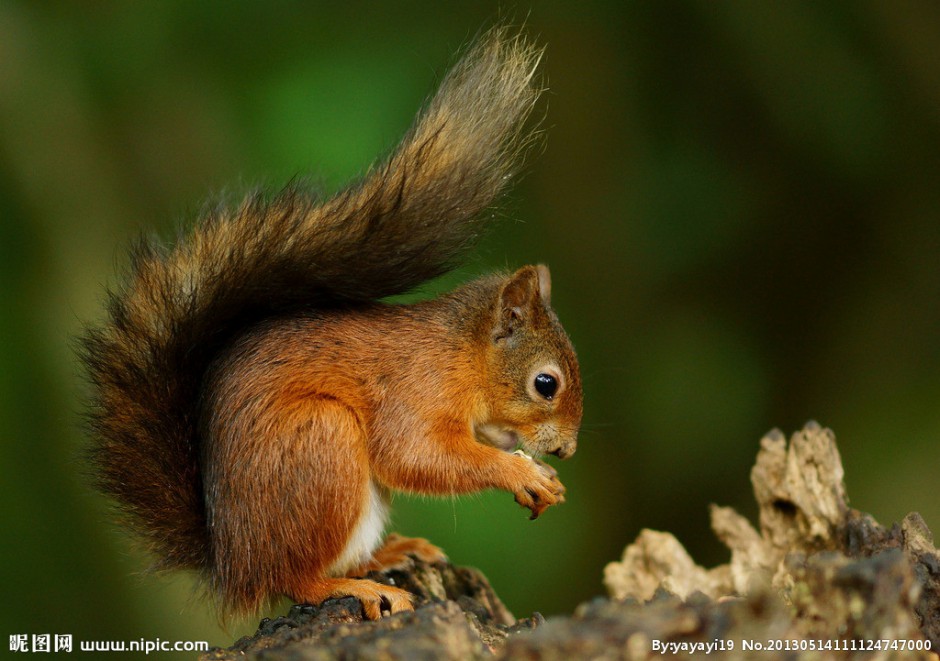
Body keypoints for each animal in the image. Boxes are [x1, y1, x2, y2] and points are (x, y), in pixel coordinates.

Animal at [82, 28, 580, 620]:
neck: (461, 352)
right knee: (295, 580)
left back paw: (390, 554)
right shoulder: (415, 390)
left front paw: (544, 479)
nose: (567, 451)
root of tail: (232, 566)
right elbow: (417, 456)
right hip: (322, 442)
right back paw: (355, 587)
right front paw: (521, 472)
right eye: (545, 384)